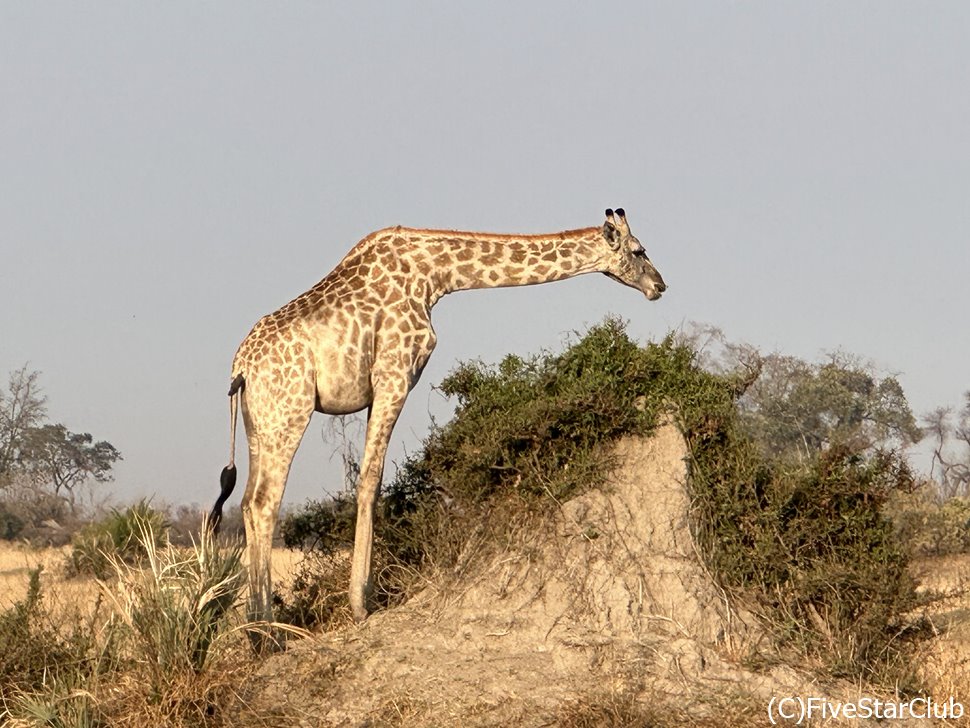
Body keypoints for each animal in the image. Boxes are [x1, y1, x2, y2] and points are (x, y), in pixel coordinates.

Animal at [210, 208, 664, 636]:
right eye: (639, 250)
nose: (660, 285)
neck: (436, 276)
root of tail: (240, 369)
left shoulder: (382, 385)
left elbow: (368, 479)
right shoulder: (394, 375)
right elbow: (370, 480)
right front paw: (361, 605)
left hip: (259, 423)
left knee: (247, 502)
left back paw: (254, 628)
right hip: (290, 411)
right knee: (265, 501)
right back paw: (268, 630)